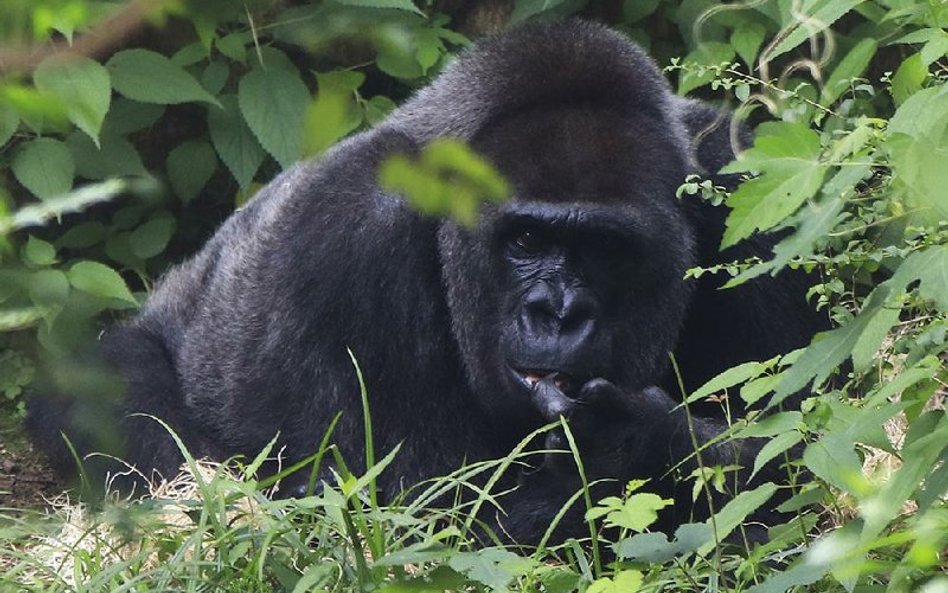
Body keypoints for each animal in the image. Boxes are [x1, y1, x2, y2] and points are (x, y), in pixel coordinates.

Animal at [29, 20, 824, 544]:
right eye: (525, 241)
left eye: (604, 248)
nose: (558, 311)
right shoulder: (346, 233)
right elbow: (399, 526)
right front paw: (635, 445)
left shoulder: (747, 185)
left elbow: (803, 448)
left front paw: (648, 438)